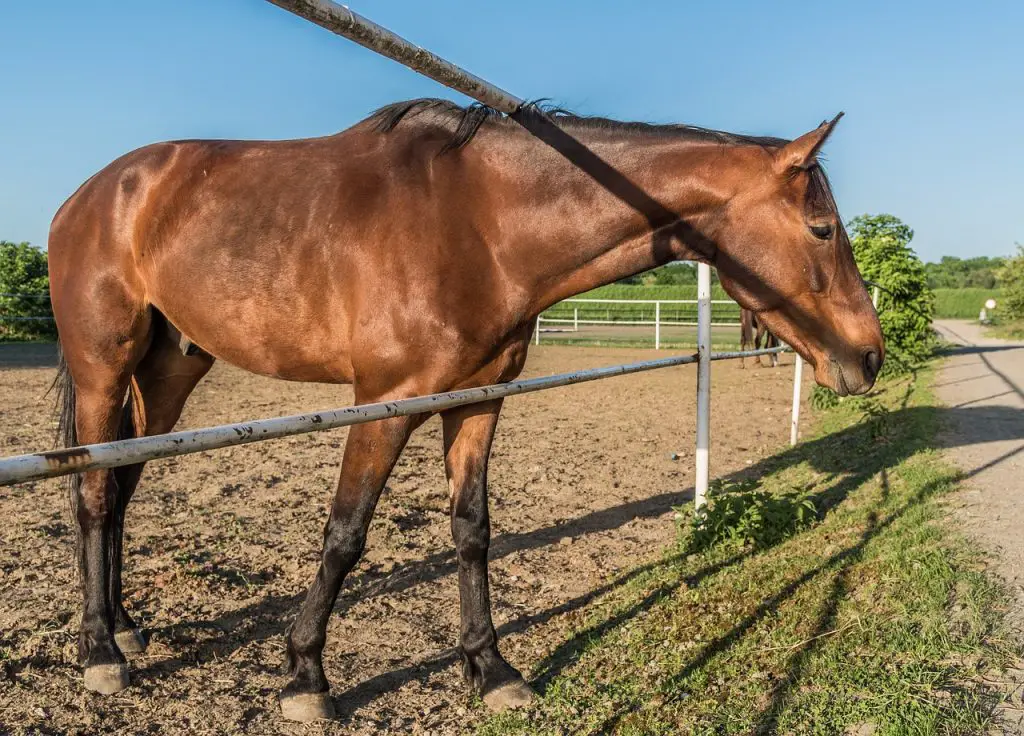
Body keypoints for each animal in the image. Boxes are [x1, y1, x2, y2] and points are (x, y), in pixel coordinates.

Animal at [46, 99, 880, 724]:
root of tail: (94, 192)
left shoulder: (477, 403)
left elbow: (473, 531)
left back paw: (124, 625)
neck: (481, 225)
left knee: (121, 486)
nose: (869, 357)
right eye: (821, 228)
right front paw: (306, 677)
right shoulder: (382, 406)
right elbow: (345, 535)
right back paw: (100, 652)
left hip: (171, 371)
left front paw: (490, 666)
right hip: (104, 369)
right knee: (93, 493)